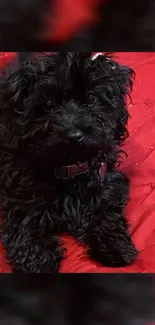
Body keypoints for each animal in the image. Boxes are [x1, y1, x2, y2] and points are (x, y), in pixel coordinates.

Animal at [0, 52, 137, 272]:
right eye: (48, 103)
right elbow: (24, 220)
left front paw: (116, 245)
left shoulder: (107, 178)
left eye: (91, 99)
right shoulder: (19, 186)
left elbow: (105, 208)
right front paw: (37, 261)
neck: (68, 166)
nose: (74, 135)